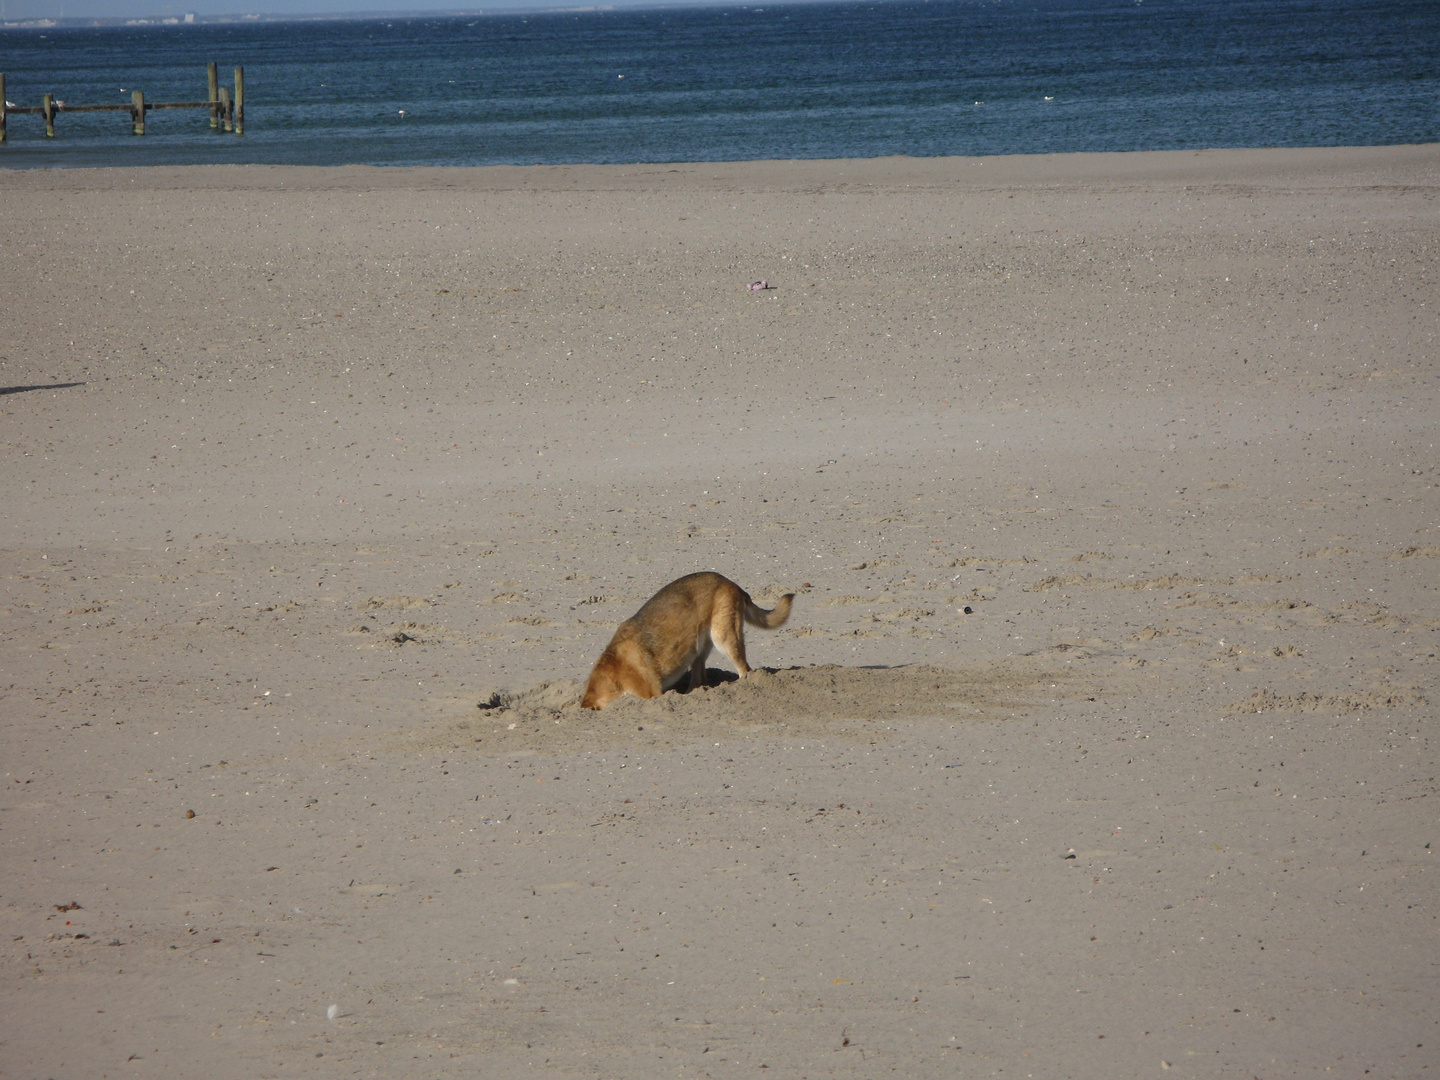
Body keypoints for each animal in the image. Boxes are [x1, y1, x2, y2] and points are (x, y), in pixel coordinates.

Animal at [578, 570, 794, 714]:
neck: (614, 673)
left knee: (745, 671)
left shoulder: (651, 694)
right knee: (699, 680)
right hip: (697, 650)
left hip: (724, 639)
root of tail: (732, 583)